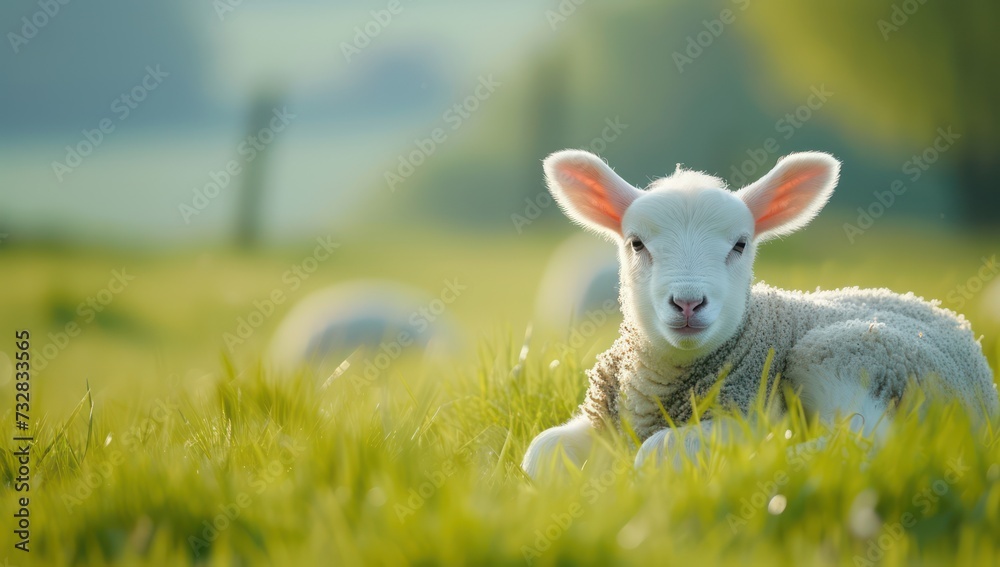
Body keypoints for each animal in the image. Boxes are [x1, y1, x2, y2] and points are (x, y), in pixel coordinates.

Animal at [521, 149, 999, 479]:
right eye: (636, 243)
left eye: (740, 244)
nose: (688, 302)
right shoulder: (606, 419)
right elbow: (540, 453)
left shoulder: (743, 416)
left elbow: (656, 452)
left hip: (845, 354)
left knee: (867, 442)